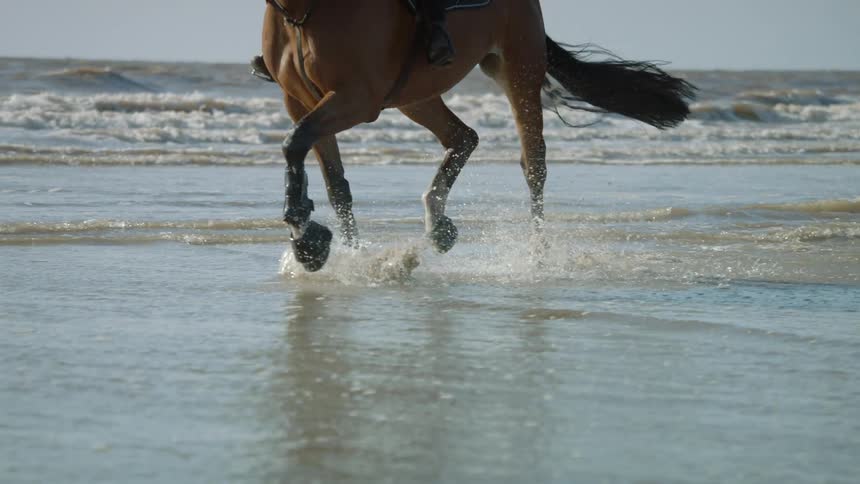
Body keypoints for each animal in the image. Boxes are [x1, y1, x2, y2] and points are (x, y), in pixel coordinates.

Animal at [261, 0, 695, 272]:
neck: (304, 11)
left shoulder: (356, 98)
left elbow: (294, 142)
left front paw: (305, 235)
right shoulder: (298, 99)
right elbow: (331, 179)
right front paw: (340, 253)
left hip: (517, 69)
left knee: (533, 162)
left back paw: (536, 257)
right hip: (415, 95)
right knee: (463, 136)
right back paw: (438, 224)